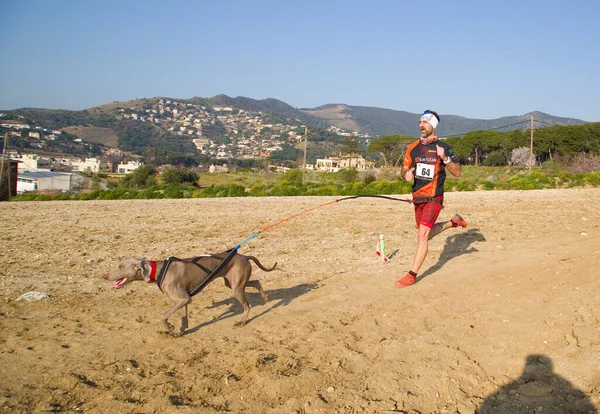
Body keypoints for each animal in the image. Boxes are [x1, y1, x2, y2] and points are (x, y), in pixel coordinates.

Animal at [104, 252, 278, 336]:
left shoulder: (183, 298)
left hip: (236, 287)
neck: (158, 271)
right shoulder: (184, 300)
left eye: (120, 266)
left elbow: (163, 316)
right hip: (232, 283)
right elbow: (183, 319)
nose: (103, 275)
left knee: (247, 306)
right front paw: (178, 332)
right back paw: (265, 297)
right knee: (256, 282)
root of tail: (244, 255)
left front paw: (169, 326)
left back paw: (242, 321)